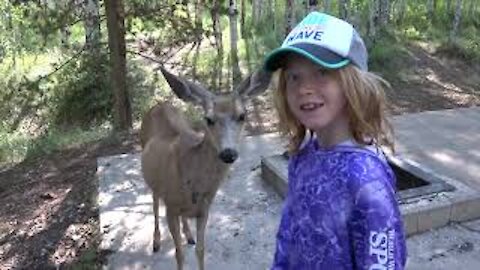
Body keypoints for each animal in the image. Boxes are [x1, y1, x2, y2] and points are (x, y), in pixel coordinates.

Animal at [141, 67, 272, 270]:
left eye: (242, 116)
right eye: (208, 119)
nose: (228, 153)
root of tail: (159, 105)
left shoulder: (205, 209)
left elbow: (201, 251)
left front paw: (193, 241)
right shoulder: (170, 207)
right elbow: (179, 254)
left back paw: (188, 235)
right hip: (154, 180)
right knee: (154, 203)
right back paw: (156, 242)